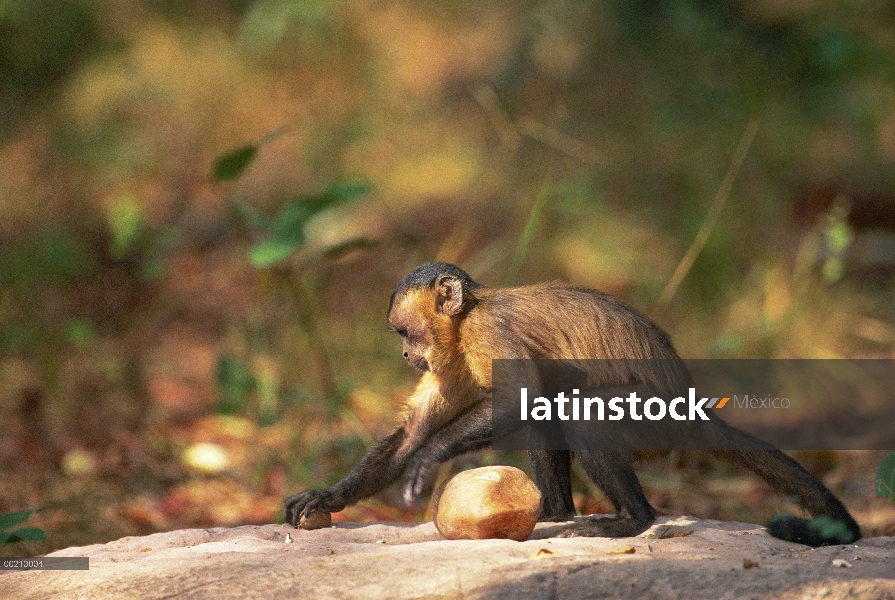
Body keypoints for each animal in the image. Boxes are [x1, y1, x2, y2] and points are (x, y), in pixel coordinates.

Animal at [288, 260, 860, 548]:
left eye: (405, 333)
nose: (407, 354)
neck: (467, 317)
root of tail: (693, 406)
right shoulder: (450, 358)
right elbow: (409, 435)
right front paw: (327, 498)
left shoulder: (484, 331)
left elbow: (515, 398)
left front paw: (430, 459)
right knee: (552, 405)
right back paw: (558, 511)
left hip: (652, 419)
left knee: (573, 408)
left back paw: (633, 520)